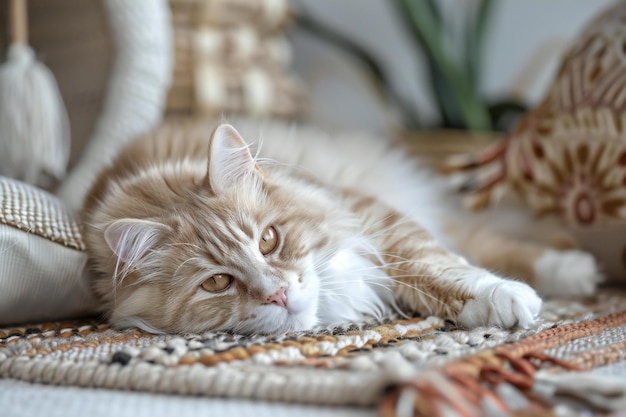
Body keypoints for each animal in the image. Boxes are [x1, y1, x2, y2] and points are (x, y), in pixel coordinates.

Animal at [79, 118, 596, 334]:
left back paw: (574, 269)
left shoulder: (373, 216)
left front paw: (500, 296)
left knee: (483, 240)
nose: (278, 294)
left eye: (269, 240)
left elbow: (434, 264)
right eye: (218, 283)